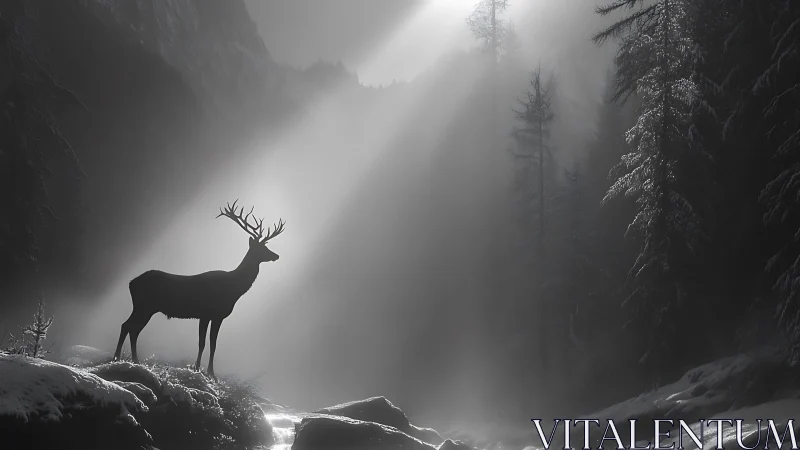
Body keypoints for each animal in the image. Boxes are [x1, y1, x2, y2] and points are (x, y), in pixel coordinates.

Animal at [113, 200, 286, 379]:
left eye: (266, 246)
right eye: (261, 248)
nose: (276, 255)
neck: (234, 289)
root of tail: (131, 283)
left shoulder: (212, 316)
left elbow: (209, 343)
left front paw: (204, 371)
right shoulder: (209, 314)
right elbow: (205, 343)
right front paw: (204, 371)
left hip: (146, 308)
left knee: (131, 328)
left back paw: (133, 361)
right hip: (144, 306)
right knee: (128, 326)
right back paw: (119, 359)